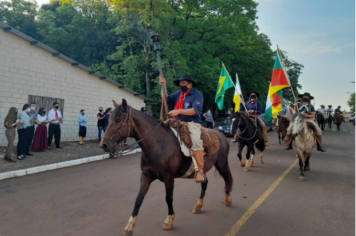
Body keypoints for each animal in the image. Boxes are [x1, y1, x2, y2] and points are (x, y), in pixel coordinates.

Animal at [100, 99, 234, 234]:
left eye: (118, 119)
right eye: (109, 119)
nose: (104, 145)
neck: (158, 145)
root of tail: (221, 136)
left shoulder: (168, 178)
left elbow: (168, 198)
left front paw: (169, 221)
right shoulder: (146, 176)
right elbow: (138, 199)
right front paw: (130, 225)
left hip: (221, 165)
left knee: (227, 179)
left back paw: (228, 200)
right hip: (202, 170)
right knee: (205, 183)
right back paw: (198, 206)